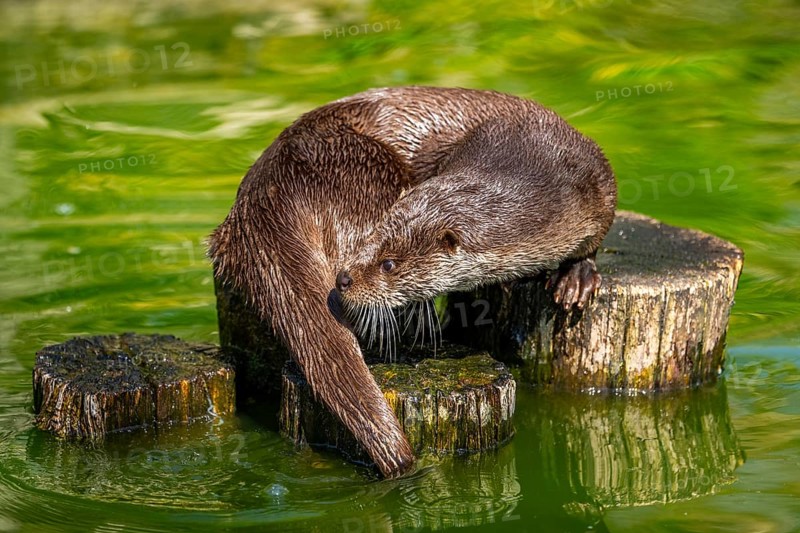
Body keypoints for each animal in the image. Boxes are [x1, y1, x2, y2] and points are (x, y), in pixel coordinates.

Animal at [209, 86, 616, 479]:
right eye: (370, 239)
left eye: (389, 263)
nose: (344, 278)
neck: (537, 167)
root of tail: (266, 191)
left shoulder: (597, 178)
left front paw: (577, 275)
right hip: (369, 167)